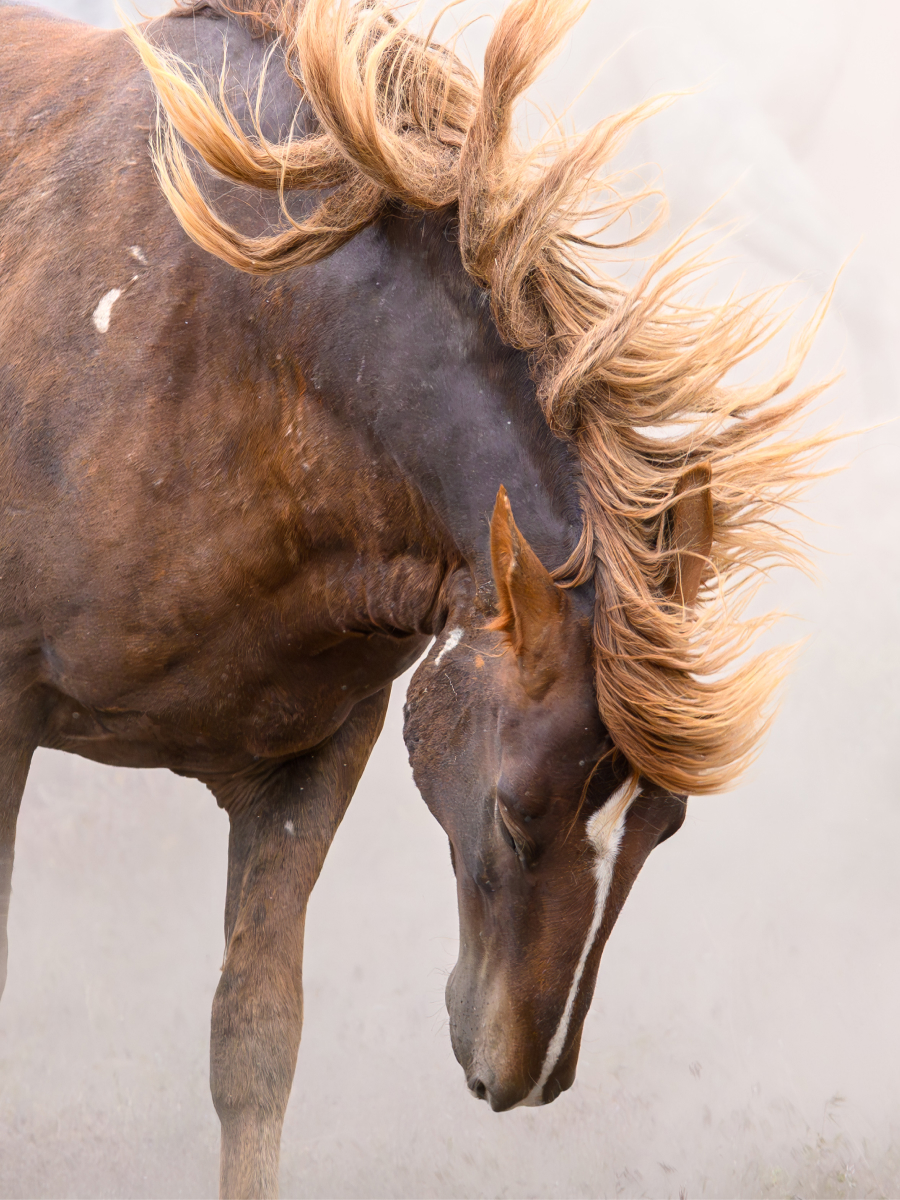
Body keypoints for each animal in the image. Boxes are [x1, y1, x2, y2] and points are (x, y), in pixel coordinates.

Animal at [0, 0, 831, 1194]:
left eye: (664, 827)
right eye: (515, 812)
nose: (527, 1077)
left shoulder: (312, 756)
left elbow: (254, 1042)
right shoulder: (8, 716)